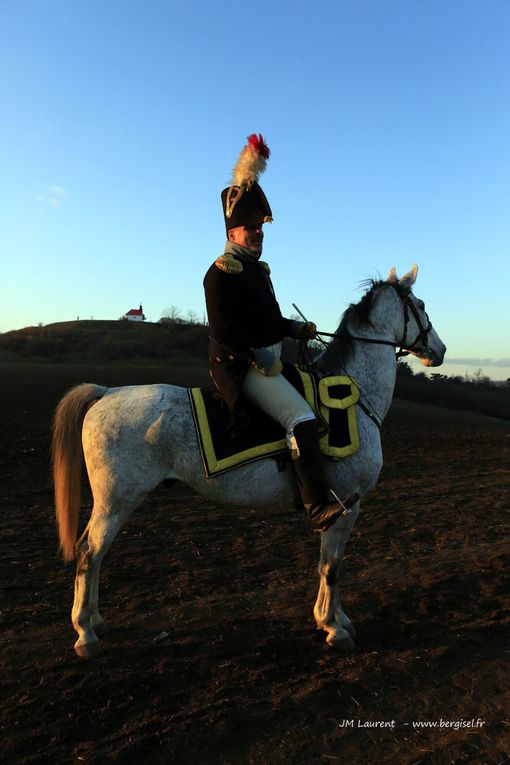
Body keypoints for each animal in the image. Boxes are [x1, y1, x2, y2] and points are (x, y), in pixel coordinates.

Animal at [50, 264, 442, 656]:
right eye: (421, 305)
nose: (439, 350)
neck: (352, 393)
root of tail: (106, 393)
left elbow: (326, 565)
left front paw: (331, 618)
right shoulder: (347, 503)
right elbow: (332, 567)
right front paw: (334, 627)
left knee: (95, 553)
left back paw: (96, 620)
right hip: (116, 501)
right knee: (89, 552)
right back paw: (85, 633)